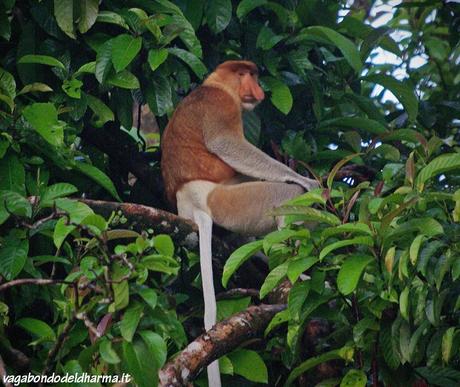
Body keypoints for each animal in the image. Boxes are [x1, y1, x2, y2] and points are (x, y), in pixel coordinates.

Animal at [161, 60, 316, 384]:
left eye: (255, 76)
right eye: (246, 75)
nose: (258, 91)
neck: (217, 85)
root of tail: (189, 202)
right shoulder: (220, 104)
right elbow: (226, 143)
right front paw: (307, 181)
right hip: (226, 201)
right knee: (287, 196)